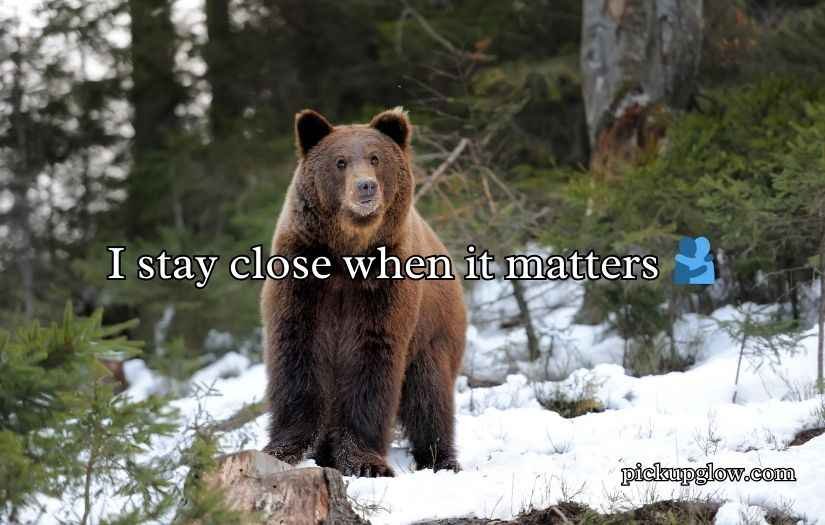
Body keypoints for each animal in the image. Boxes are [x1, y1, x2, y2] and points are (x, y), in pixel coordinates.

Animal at [260, 107, 467, 477]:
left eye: (375, 157)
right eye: (340, 161)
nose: (366, 186)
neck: (347, 254)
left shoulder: (383, 288)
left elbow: (371, 359)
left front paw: (365, 461)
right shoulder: (304, 276)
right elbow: (297, 350)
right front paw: (284, 448)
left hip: (434, 333)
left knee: (429, 396)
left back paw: (441, 459)